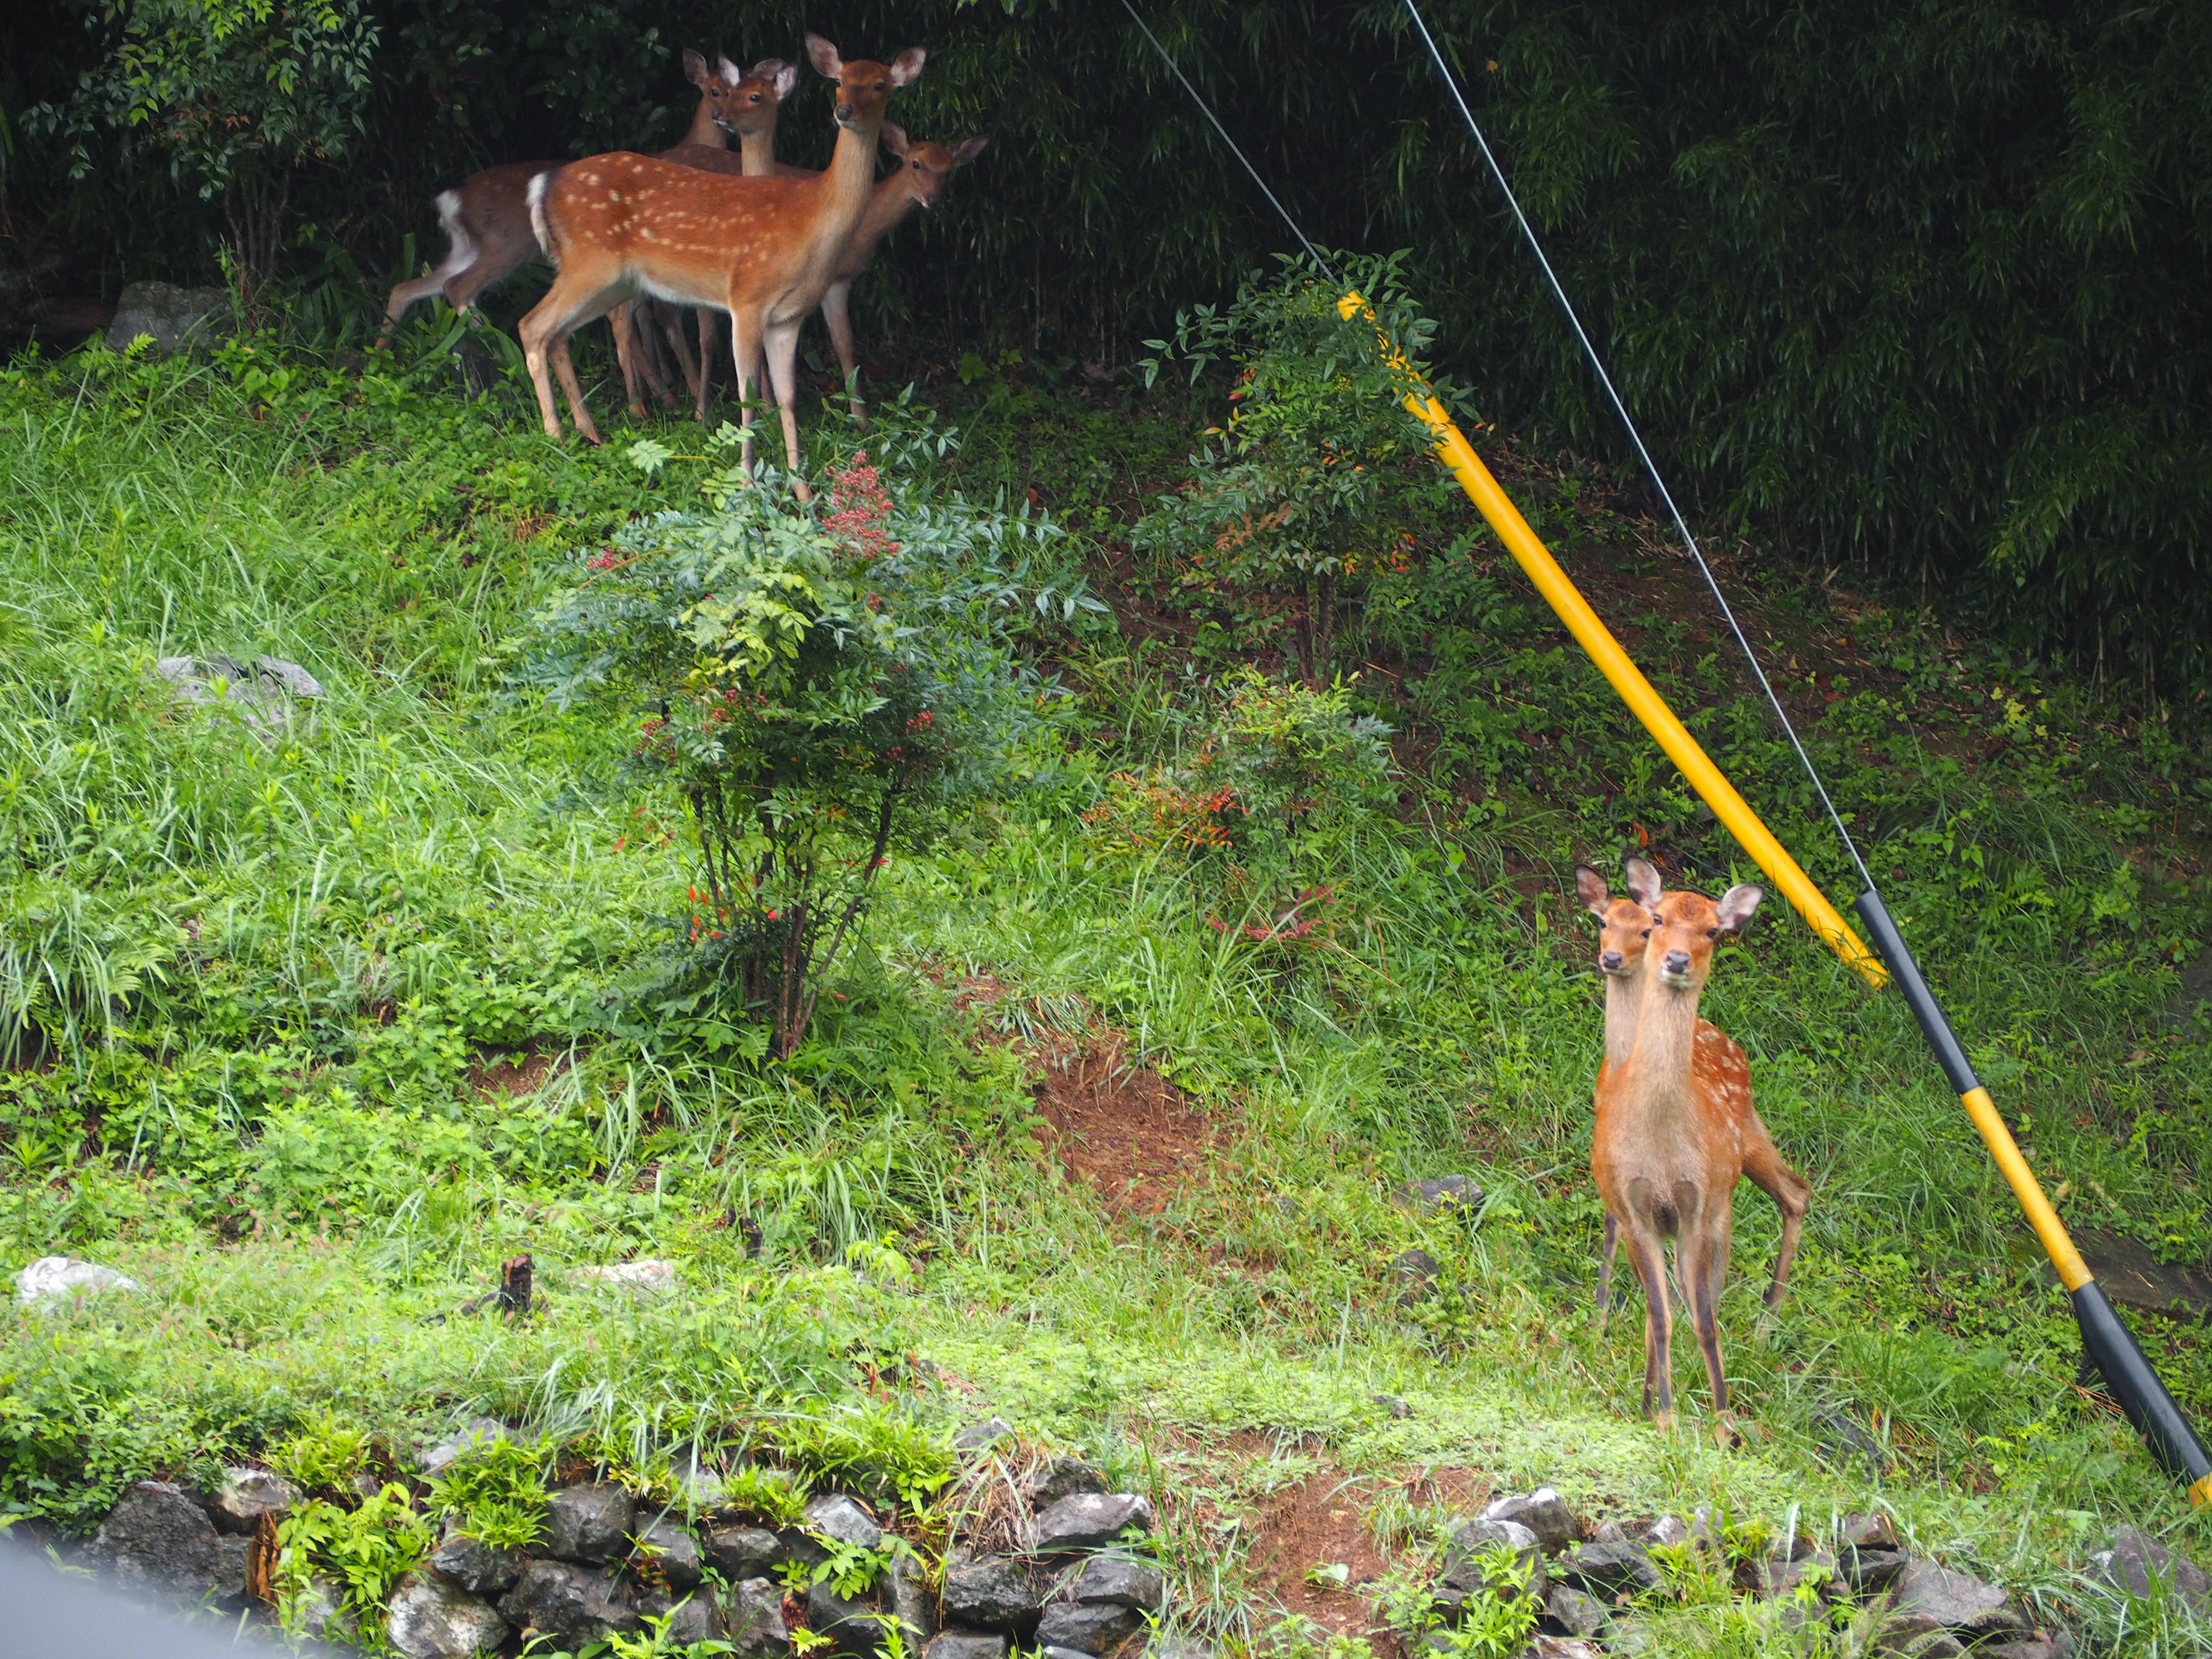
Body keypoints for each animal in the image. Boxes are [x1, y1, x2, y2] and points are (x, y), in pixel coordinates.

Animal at [520, 32, 925, 486]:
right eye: (839, 81)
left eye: (880, 85)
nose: (844, 112)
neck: (810, 220)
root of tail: (543, 184)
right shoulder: (747, 299)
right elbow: (747, 395)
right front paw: (746, 480)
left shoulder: (788, 316)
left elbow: (788, 396)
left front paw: (801, 488)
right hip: (589, 263)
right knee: (531, 325)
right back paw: (555, 435)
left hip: (612, 281)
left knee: (558, 335)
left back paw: (588, 432)